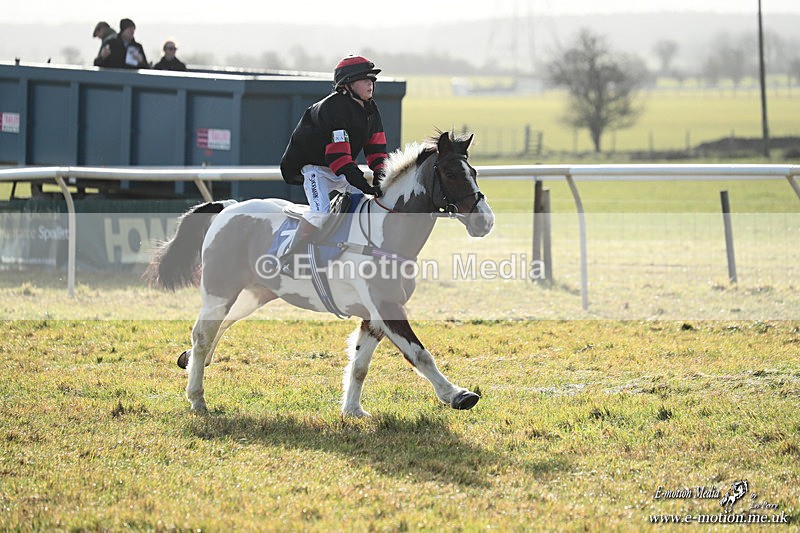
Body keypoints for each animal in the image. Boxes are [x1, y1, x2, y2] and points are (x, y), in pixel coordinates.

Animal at [146, 131, 495, 416]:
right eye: (451, 173)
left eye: (474, 172)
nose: (485, 221)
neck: (385, 235)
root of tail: (228, 207)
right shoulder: (387, 307)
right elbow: (420, 355)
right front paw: (457, 395)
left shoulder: (374, 315)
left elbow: (359, 364)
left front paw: (353, 410)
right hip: (220, 291)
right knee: (203, 334)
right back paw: (197, 397)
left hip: (252, 295)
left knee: (217, 330)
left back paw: (190, 361)